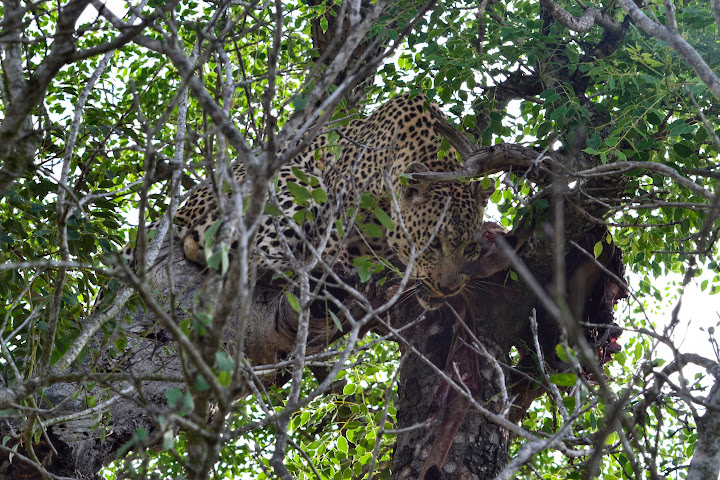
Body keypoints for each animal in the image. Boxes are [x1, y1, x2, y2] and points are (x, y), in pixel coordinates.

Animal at [136, 93, 496, 312]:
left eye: (470, 249)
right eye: (433, 244)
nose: (449, 288)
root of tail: (182, 210)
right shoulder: (338, 194)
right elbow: (334, 238)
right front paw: (336, 265)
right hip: (293, 181)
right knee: (254, 257)